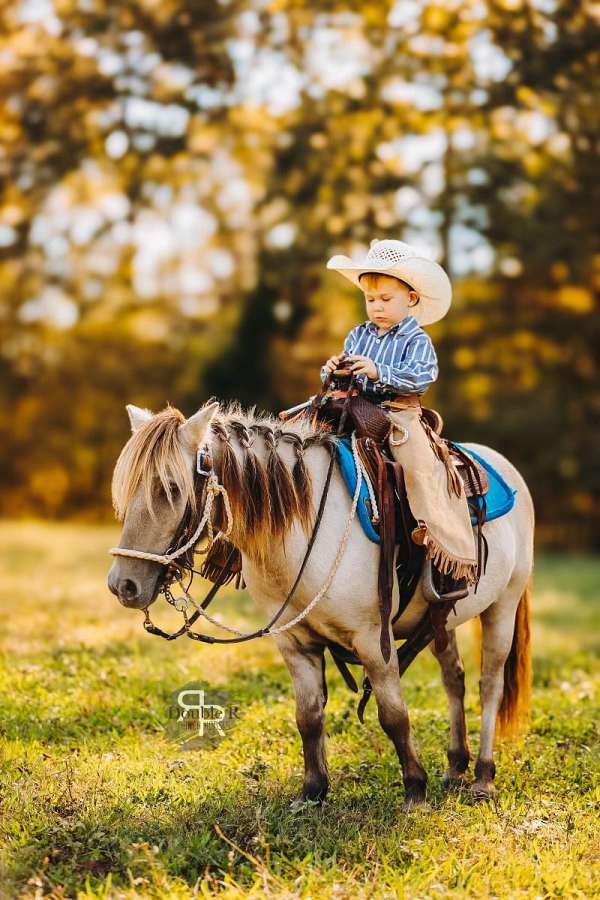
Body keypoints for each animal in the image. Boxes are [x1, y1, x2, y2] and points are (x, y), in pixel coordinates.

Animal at [108, 400, 533, 805]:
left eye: (170, 489)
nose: (122, 585)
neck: (306, 525)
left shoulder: (373, 640)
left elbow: (394, 715)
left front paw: (415, 789)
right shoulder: (295, 643)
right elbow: (308, 716)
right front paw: (312, 791)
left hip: (503, 606)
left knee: (490, 684)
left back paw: (483, 776)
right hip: (440, 620)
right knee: (454, 678)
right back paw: (455, 766)